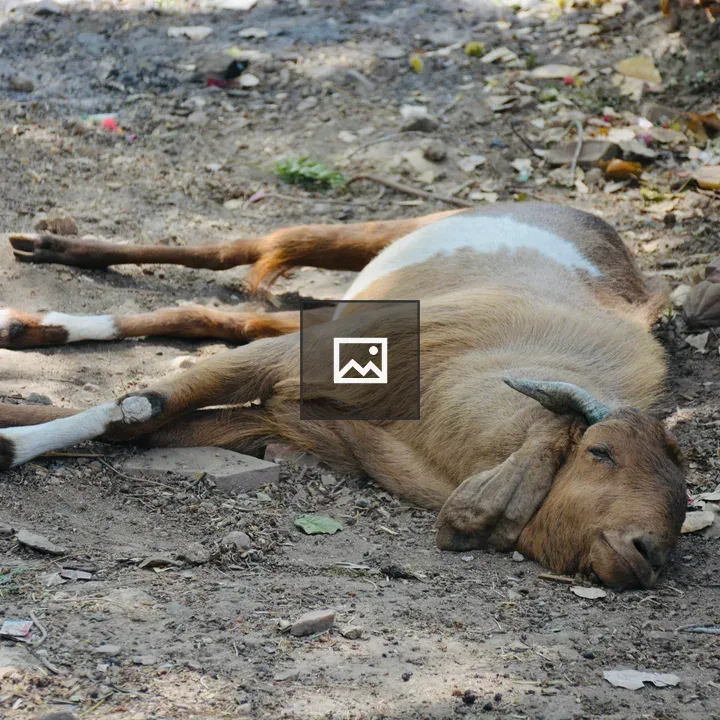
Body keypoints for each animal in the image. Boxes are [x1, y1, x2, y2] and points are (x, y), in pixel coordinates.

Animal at [0, 203, 686, 588]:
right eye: (601, 452)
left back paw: (30, 324)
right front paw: (10, 445)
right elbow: (139, 407)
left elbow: (145, 423)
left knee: (224, 314)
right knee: (251, 246)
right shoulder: (304, 359)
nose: (649, 552)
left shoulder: (283, 423)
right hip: (403, 234)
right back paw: (50, 249)